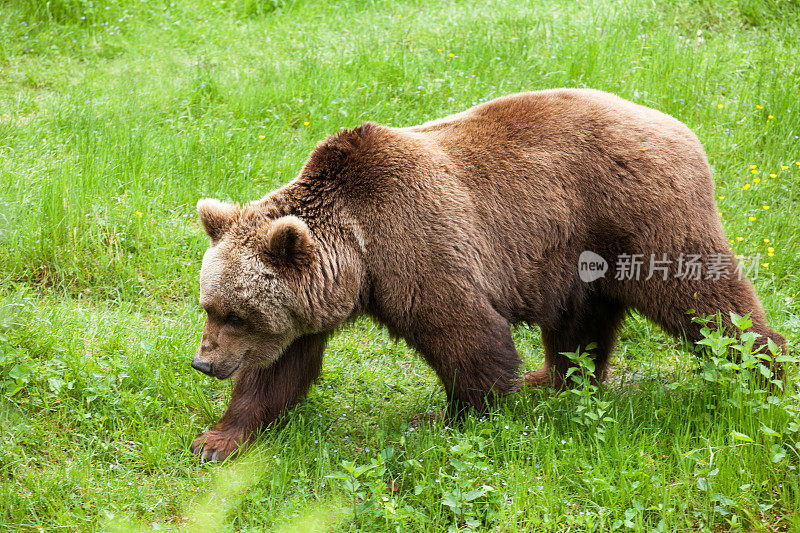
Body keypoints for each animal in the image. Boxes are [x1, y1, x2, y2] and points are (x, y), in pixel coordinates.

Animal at [189, 88, 788, 462]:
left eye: (237, 314)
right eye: (210, 307)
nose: (203, 362)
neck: (358, 253)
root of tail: (679, 125)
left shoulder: (417, 245)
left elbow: (468, 336)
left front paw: (455, 419)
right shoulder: (313, 304)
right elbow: (278, 370)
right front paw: (217, 438)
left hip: (639, 215)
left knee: (703, 298)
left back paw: (763, 370)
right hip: (578, 252)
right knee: (581, 321)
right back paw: (555, 379)